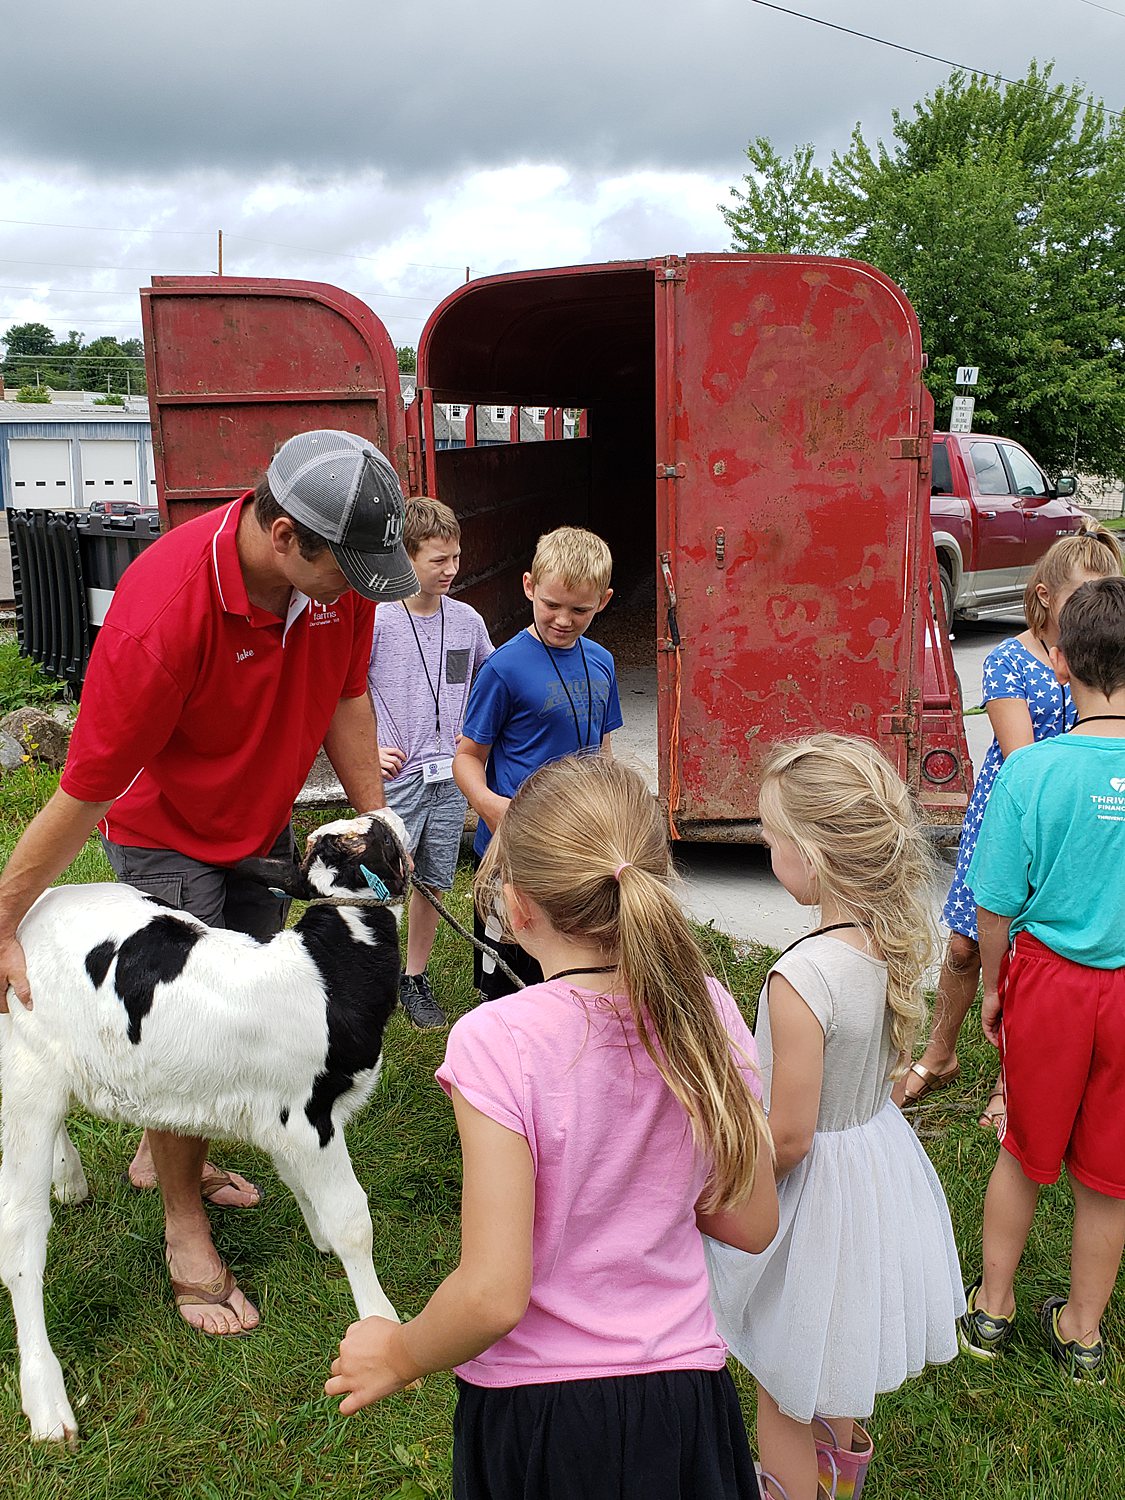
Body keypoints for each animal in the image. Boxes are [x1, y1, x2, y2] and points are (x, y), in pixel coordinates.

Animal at [0, 816, 411, 1446]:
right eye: (348, 845)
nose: (388, 820)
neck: (327, 968)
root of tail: (33, 904)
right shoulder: (307, 1115)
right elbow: (353, 1221)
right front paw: (379, 1324)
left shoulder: (280, 1118)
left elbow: (303, 1186)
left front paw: (316, 1233)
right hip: (27, 1075)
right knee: (20, 1236)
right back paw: (47, 1404)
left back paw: (67, 1177)